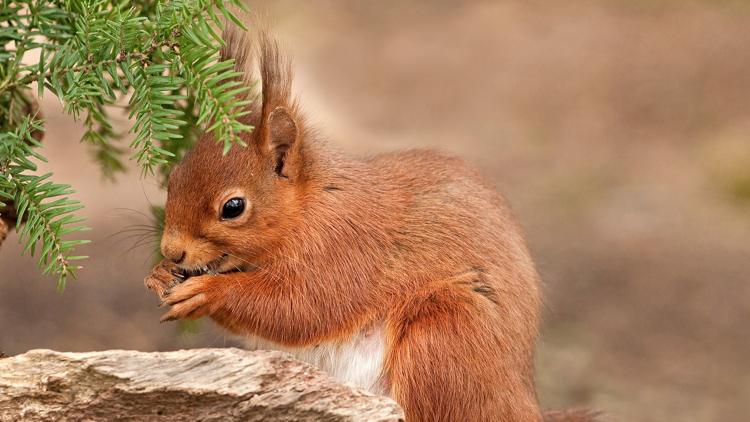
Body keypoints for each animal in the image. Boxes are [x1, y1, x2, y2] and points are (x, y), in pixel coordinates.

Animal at [144, 18, 604, 420]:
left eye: (233, 207)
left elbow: (302, 307)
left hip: (444, 339)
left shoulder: (347, 247)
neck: (310, 207)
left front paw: (208, 293)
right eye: (174, 178)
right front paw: (159, 275)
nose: (173, 250)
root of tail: (522, 403)